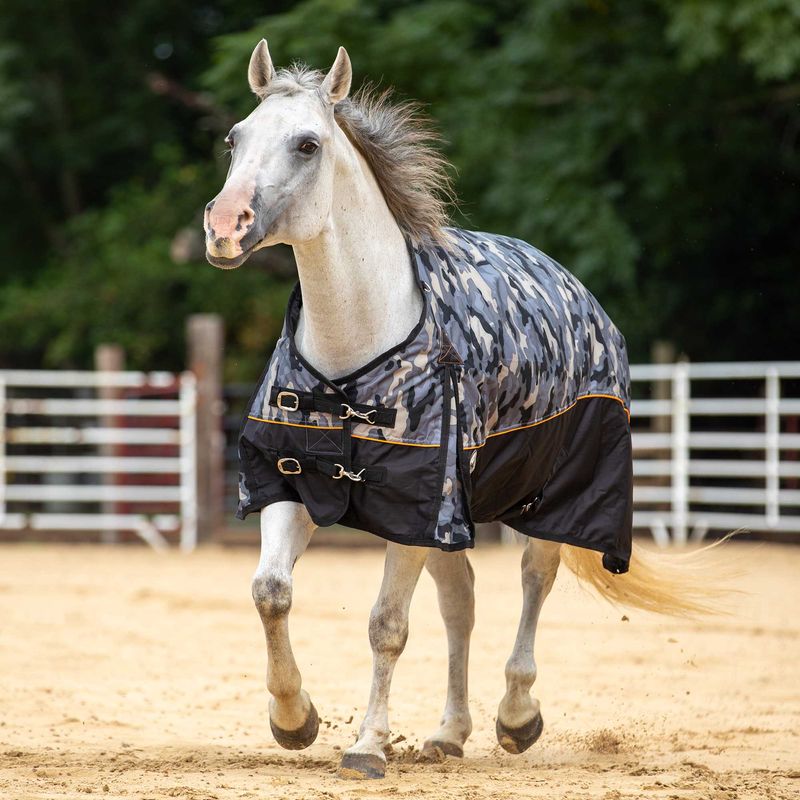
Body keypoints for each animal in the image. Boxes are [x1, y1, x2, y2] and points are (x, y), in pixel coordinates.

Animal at [203, 41, 726, 780]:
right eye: (235, 138)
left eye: (307, 144)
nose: (224, 228)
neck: (360, 349)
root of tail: (574, 287)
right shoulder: (295, 482)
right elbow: (270, 591)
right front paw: (294, 718)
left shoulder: (417, 502)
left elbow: (386, 625)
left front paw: (367, 745)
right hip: (456, 514)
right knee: (462, 601)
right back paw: (450, 733)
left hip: (544, 497)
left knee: (534, 581)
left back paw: (517, 717)